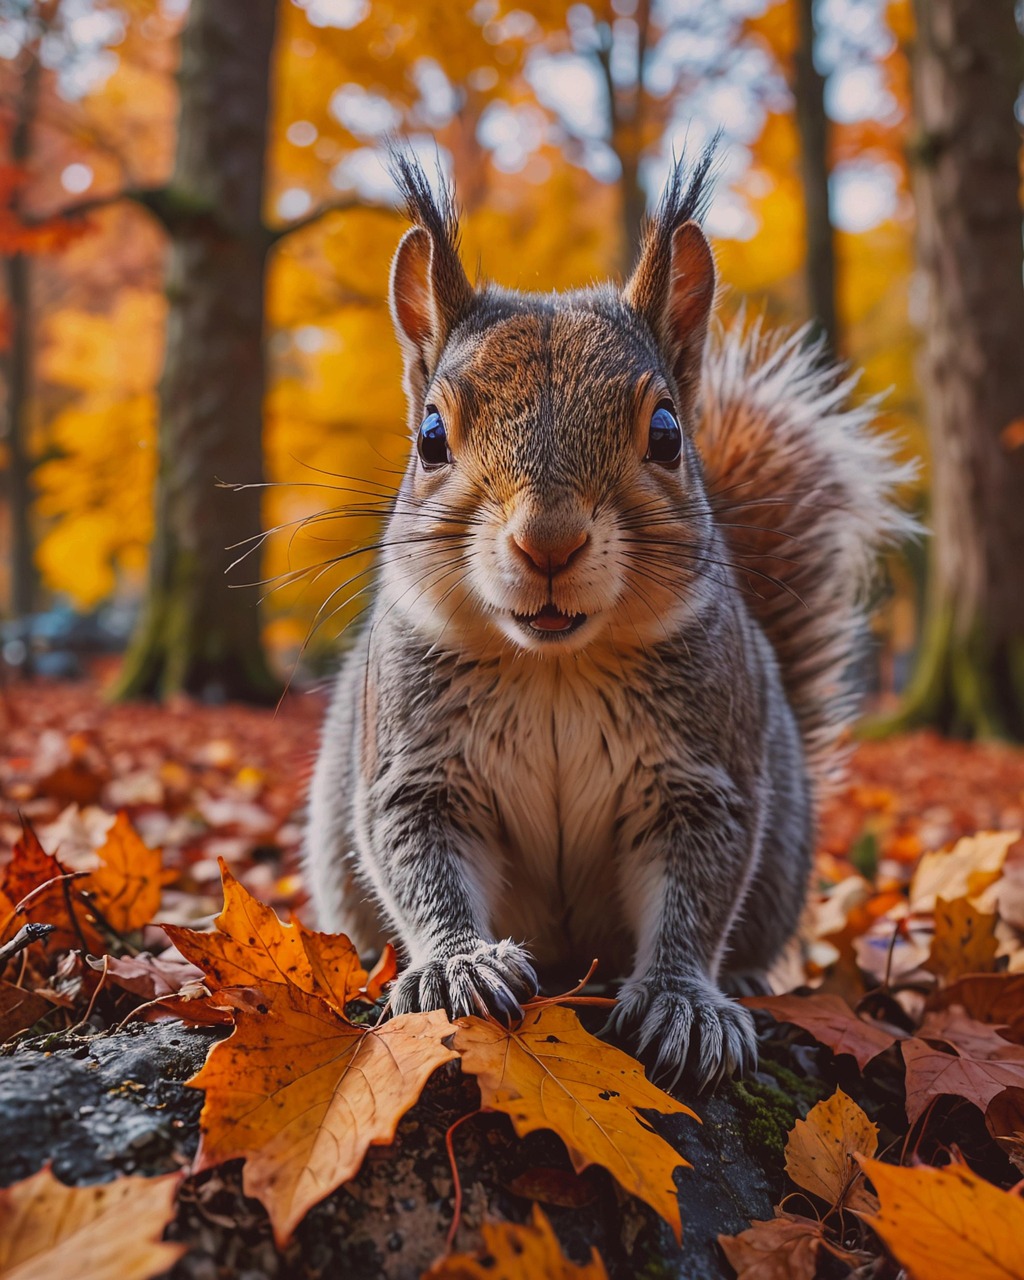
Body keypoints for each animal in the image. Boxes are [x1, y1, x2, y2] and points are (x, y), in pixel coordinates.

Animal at [303, 145, 913, 1089]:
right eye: (430, 438)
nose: (547, 541)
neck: (555, 663)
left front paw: (685, 1002)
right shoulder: (416, 770)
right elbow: (420, 864)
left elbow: (696, 897)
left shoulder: (702, 779)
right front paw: (458, 966)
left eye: (666, 432)